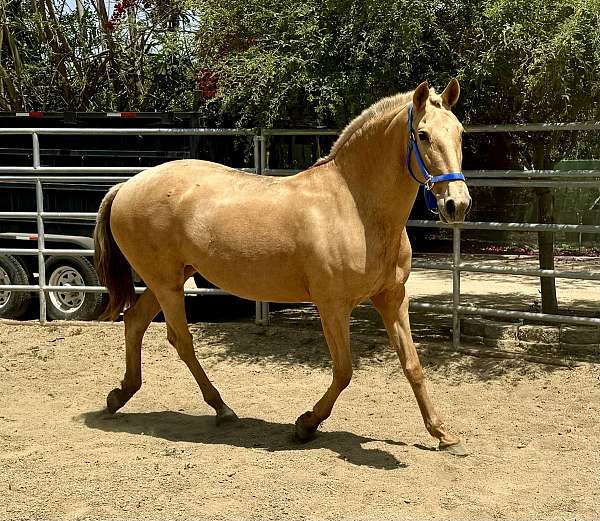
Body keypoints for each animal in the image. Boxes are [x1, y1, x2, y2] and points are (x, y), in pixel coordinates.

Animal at [94, 78, 472, 456]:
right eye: (423, 135)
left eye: (459, 132)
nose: (457, 204)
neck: (354, 208)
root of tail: (125, 186)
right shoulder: (333, 306)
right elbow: (344, 371)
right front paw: (305, 425)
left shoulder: (392, 298)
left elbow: (413, 365)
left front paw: (443, 434)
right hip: (167, 284)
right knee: (181, 340)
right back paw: (221, 408)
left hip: (167, 280)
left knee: (135, 321)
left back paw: (119, 396)